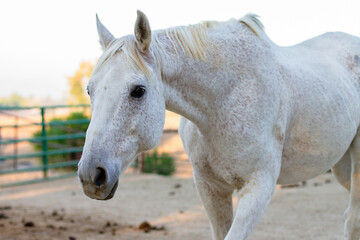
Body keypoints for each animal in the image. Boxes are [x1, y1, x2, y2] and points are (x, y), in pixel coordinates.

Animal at [78, 10, 360, 239]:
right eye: (90, 90)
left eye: (138, 90)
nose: (91, 175)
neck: (227, 95)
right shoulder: (211, 188)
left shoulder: (258, 187)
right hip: (342, 166)